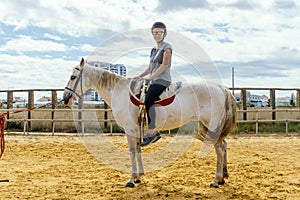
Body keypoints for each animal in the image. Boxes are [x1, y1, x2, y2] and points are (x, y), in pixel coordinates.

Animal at [63, 57, 237, 188]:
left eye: (73, 77)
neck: (120, 92)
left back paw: (216, 180)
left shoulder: (130, 129)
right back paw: (223, 177)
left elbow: (132, 151)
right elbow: (138, 150)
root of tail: (221, 88)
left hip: (212, 125)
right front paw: (139, 176)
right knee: (223, 146)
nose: (65, 98)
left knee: (219, 150)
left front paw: (131, 179)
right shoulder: (136, 129)